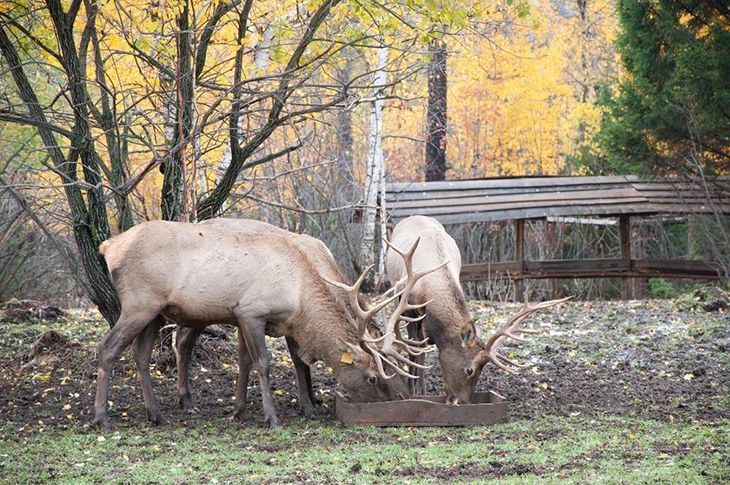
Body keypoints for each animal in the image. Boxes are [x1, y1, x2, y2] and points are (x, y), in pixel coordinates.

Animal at [92, 220, 432, 428]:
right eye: (374, 377)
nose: (399, 399)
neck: (299, 293)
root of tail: (108, 246)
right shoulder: (251, 311)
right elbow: (264, 362)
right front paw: (273, 417)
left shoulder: (267, 320)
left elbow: (267, 360)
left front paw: (246, 409)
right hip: (139, 303)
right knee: (108, 347)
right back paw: (102, 418)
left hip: (156, 311)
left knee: (142, 355)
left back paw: (157, 414)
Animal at [384, 217, 564, 402]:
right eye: (469, 370)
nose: (465, 401)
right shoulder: (407, 305)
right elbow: (415, 349)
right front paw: (414, 390)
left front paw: (422, 389)